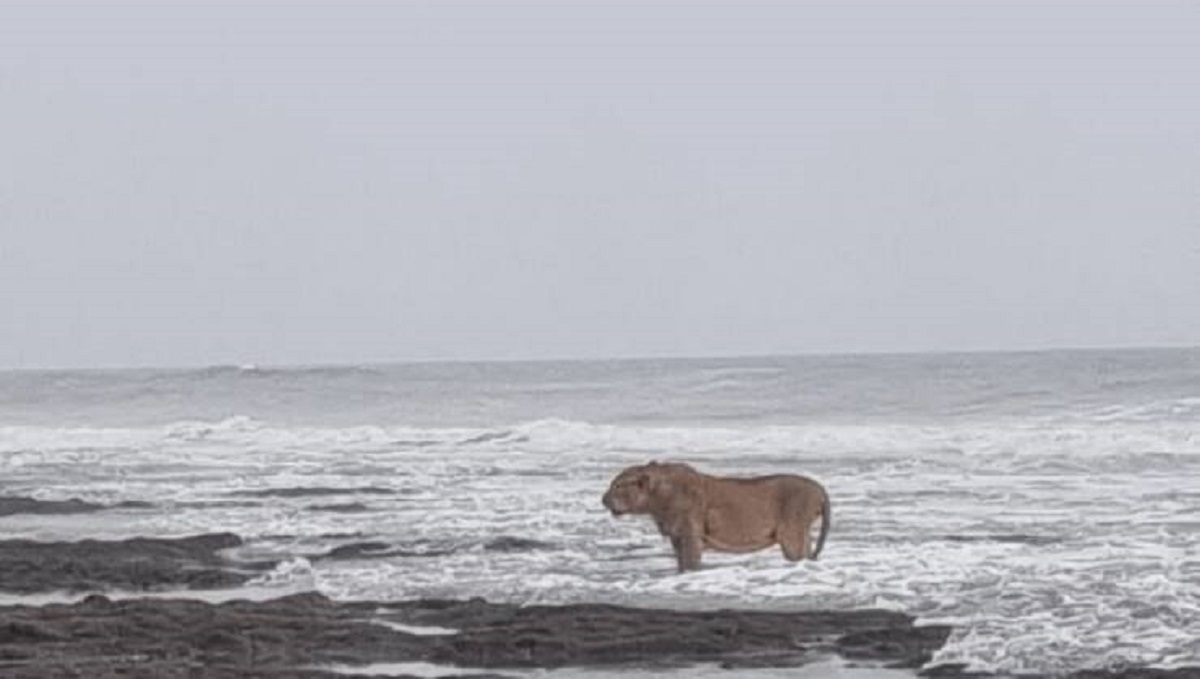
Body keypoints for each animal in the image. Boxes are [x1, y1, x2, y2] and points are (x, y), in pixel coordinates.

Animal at [604, 463, 830, 575]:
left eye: (617, 486)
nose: (603, 499)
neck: (656, 501)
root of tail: (819, 488)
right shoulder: (676, 537)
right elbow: (680, 563)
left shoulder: (691, 534)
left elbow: (691, 563)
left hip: (792, 533)